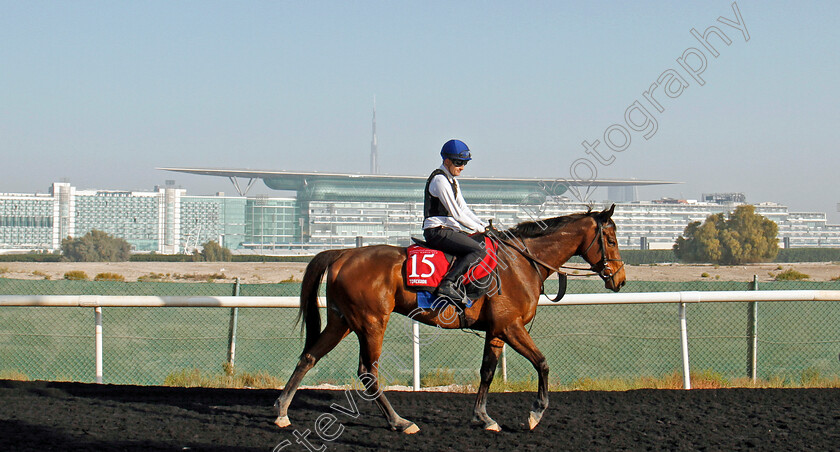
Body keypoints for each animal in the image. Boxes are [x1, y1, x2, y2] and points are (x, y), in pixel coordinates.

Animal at [276, 206, 624, 434]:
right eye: (611, 239)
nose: (619, 279)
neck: (521, 263)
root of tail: (342, 254)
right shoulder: (511, 327)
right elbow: (542, 362)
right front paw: (535, 413)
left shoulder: (496, 331)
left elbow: (487, 372)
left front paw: (483, 417)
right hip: (372, 322)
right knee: (367, 372)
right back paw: (399, 422)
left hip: (342, 322)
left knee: (309, 357)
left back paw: (281, 410)